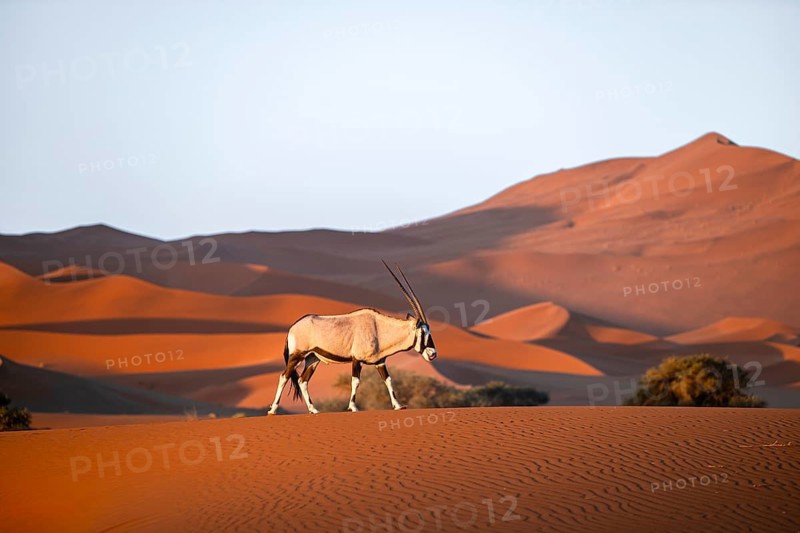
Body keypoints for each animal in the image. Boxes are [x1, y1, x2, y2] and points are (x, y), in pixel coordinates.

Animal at [267, 261, 437, 415]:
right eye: (422, 333)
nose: (433, 354)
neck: (378, 328)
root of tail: (292, 328)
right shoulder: (357, 359)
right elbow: (355, 381)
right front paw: (353, 407)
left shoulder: (380, 362)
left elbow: (388, 380)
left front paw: (398, 405)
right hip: (297, 356)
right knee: (284, 376)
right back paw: (273, 410)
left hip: (312, 359)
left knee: (303, 380)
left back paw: (313, 409)